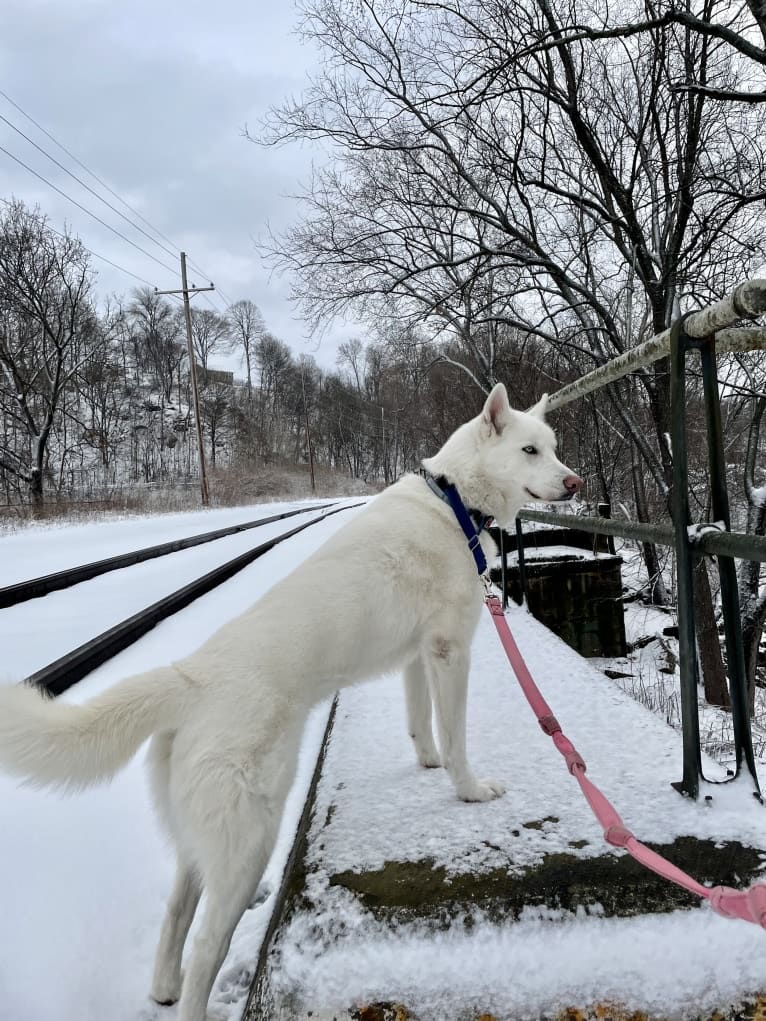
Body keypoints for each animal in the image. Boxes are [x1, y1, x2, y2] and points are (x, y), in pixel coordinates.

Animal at [0, 383, 580, 1021]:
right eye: (529, 450)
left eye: (554, 447)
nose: (575, 482)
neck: (451, 499)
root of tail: (190, 677)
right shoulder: (450, 649)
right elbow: (455, 735)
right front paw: (469, 790)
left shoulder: (417, 656)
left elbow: (420, 721)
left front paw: (426, 764)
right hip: (249, 841)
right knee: (207, 946)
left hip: (202, 837)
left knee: (176, 913)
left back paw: (163, 988)